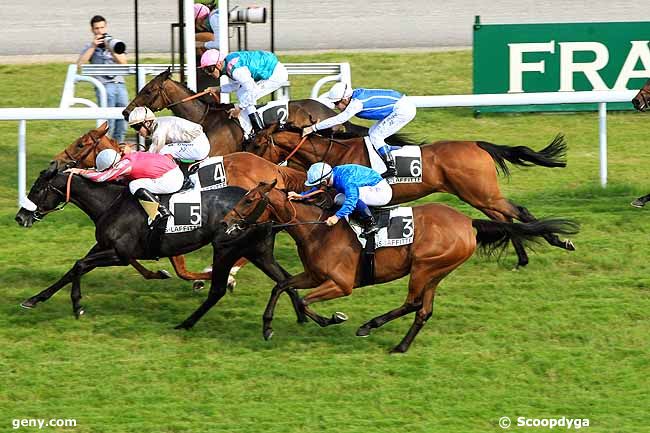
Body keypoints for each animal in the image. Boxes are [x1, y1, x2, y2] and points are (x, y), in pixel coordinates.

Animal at [13, 167, 308, 326]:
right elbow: (74, 268)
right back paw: (304, 315)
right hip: (258, 251)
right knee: (285, 279)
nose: (20, 217)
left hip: (228, 248)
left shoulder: (120, 254)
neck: (111, 203)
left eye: (37, 189)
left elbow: (79, 265)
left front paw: (76, 305)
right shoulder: (104, 247)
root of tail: (265, 204)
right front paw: (37, 299)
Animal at [223, 181, 576, 352]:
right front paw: (267, 327)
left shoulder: (340, 284)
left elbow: (307, 302)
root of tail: (468, 221)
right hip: (436, 272)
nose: (226, 222)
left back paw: (369, 326)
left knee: (413, 302)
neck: (318, 229)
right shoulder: (313, 274)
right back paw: (400, 345)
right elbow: (282, 286)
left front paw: (331, 319)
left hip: (424, 267)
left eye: (248, 200)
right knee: (423, 309)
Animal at [248, 125, 572, 266]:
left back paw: (558, 241)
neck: (338, 153)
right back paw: (526, 255)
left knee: (518, 212)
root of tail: (478, 144)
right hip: (480, 197)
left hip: (481, 194)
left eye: (258, 144)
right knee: (507, 218)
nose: (245, 157)